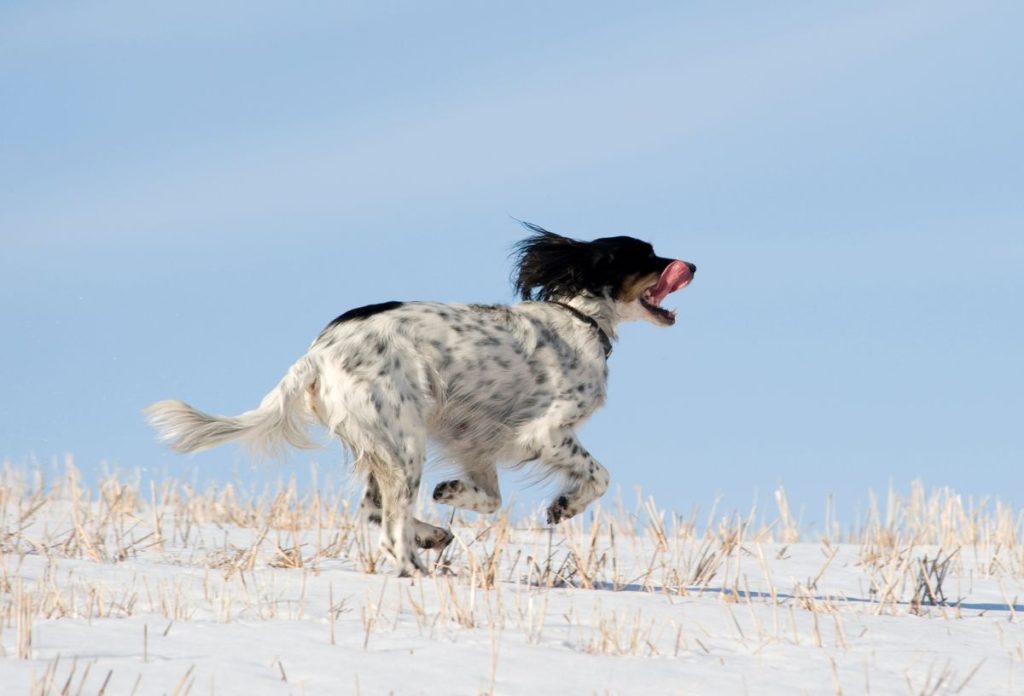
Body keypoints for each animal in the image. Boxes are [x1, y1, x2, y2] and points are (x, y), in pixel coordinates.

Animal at [146, 224, 696, 577]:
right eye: (647, 254)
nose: (690, 263)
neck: (579, 318)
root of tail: (317, 354)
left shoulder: (477, 442)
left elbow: (489, 499)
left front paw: (450, 494)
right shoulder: (545, 431)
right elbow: (600, 475)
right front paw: (565, 505)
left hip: (386, 442)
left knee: (375, 509)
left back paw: (431, 535)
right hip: (404, 439)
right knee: (389, 530)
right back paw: (417, 570)